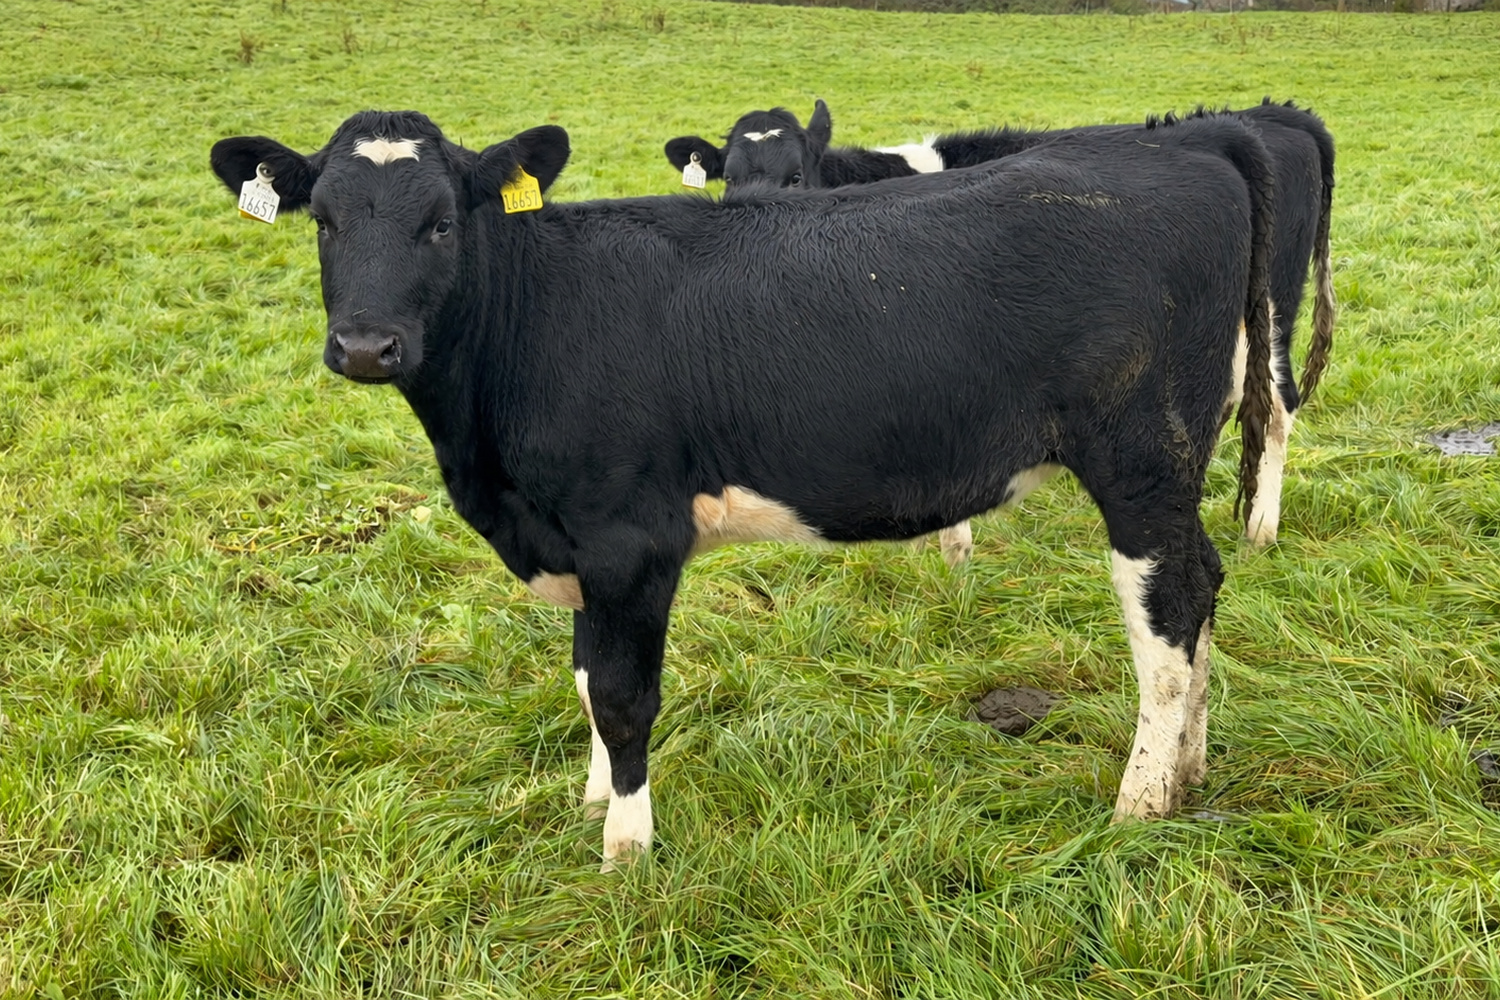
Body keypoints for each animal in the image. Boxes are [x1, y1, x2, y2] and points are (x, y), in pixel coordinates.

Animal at [211, 108, 1275, 869]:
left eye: (440, 222)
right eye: (324, 221)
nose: (365, 346)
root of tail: (1185, 143)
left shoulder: (628, 540)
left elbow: (624, 696)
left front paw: (625, 852)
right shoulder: (581, 542)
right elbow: (586, 677)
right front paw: (593, 800)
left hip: (1141, 459)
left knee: (1168, 616)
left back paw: (1141, 801)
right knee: (1205, 586)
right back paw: (1191, 768)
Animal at [666, 98, 1336, 550]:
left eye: (796, 175)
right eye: (729, 175)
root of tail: (1271, 115)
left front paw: (954, 549)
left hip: (1270, 314)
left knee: (1277, 408)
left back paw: (1260, 528)